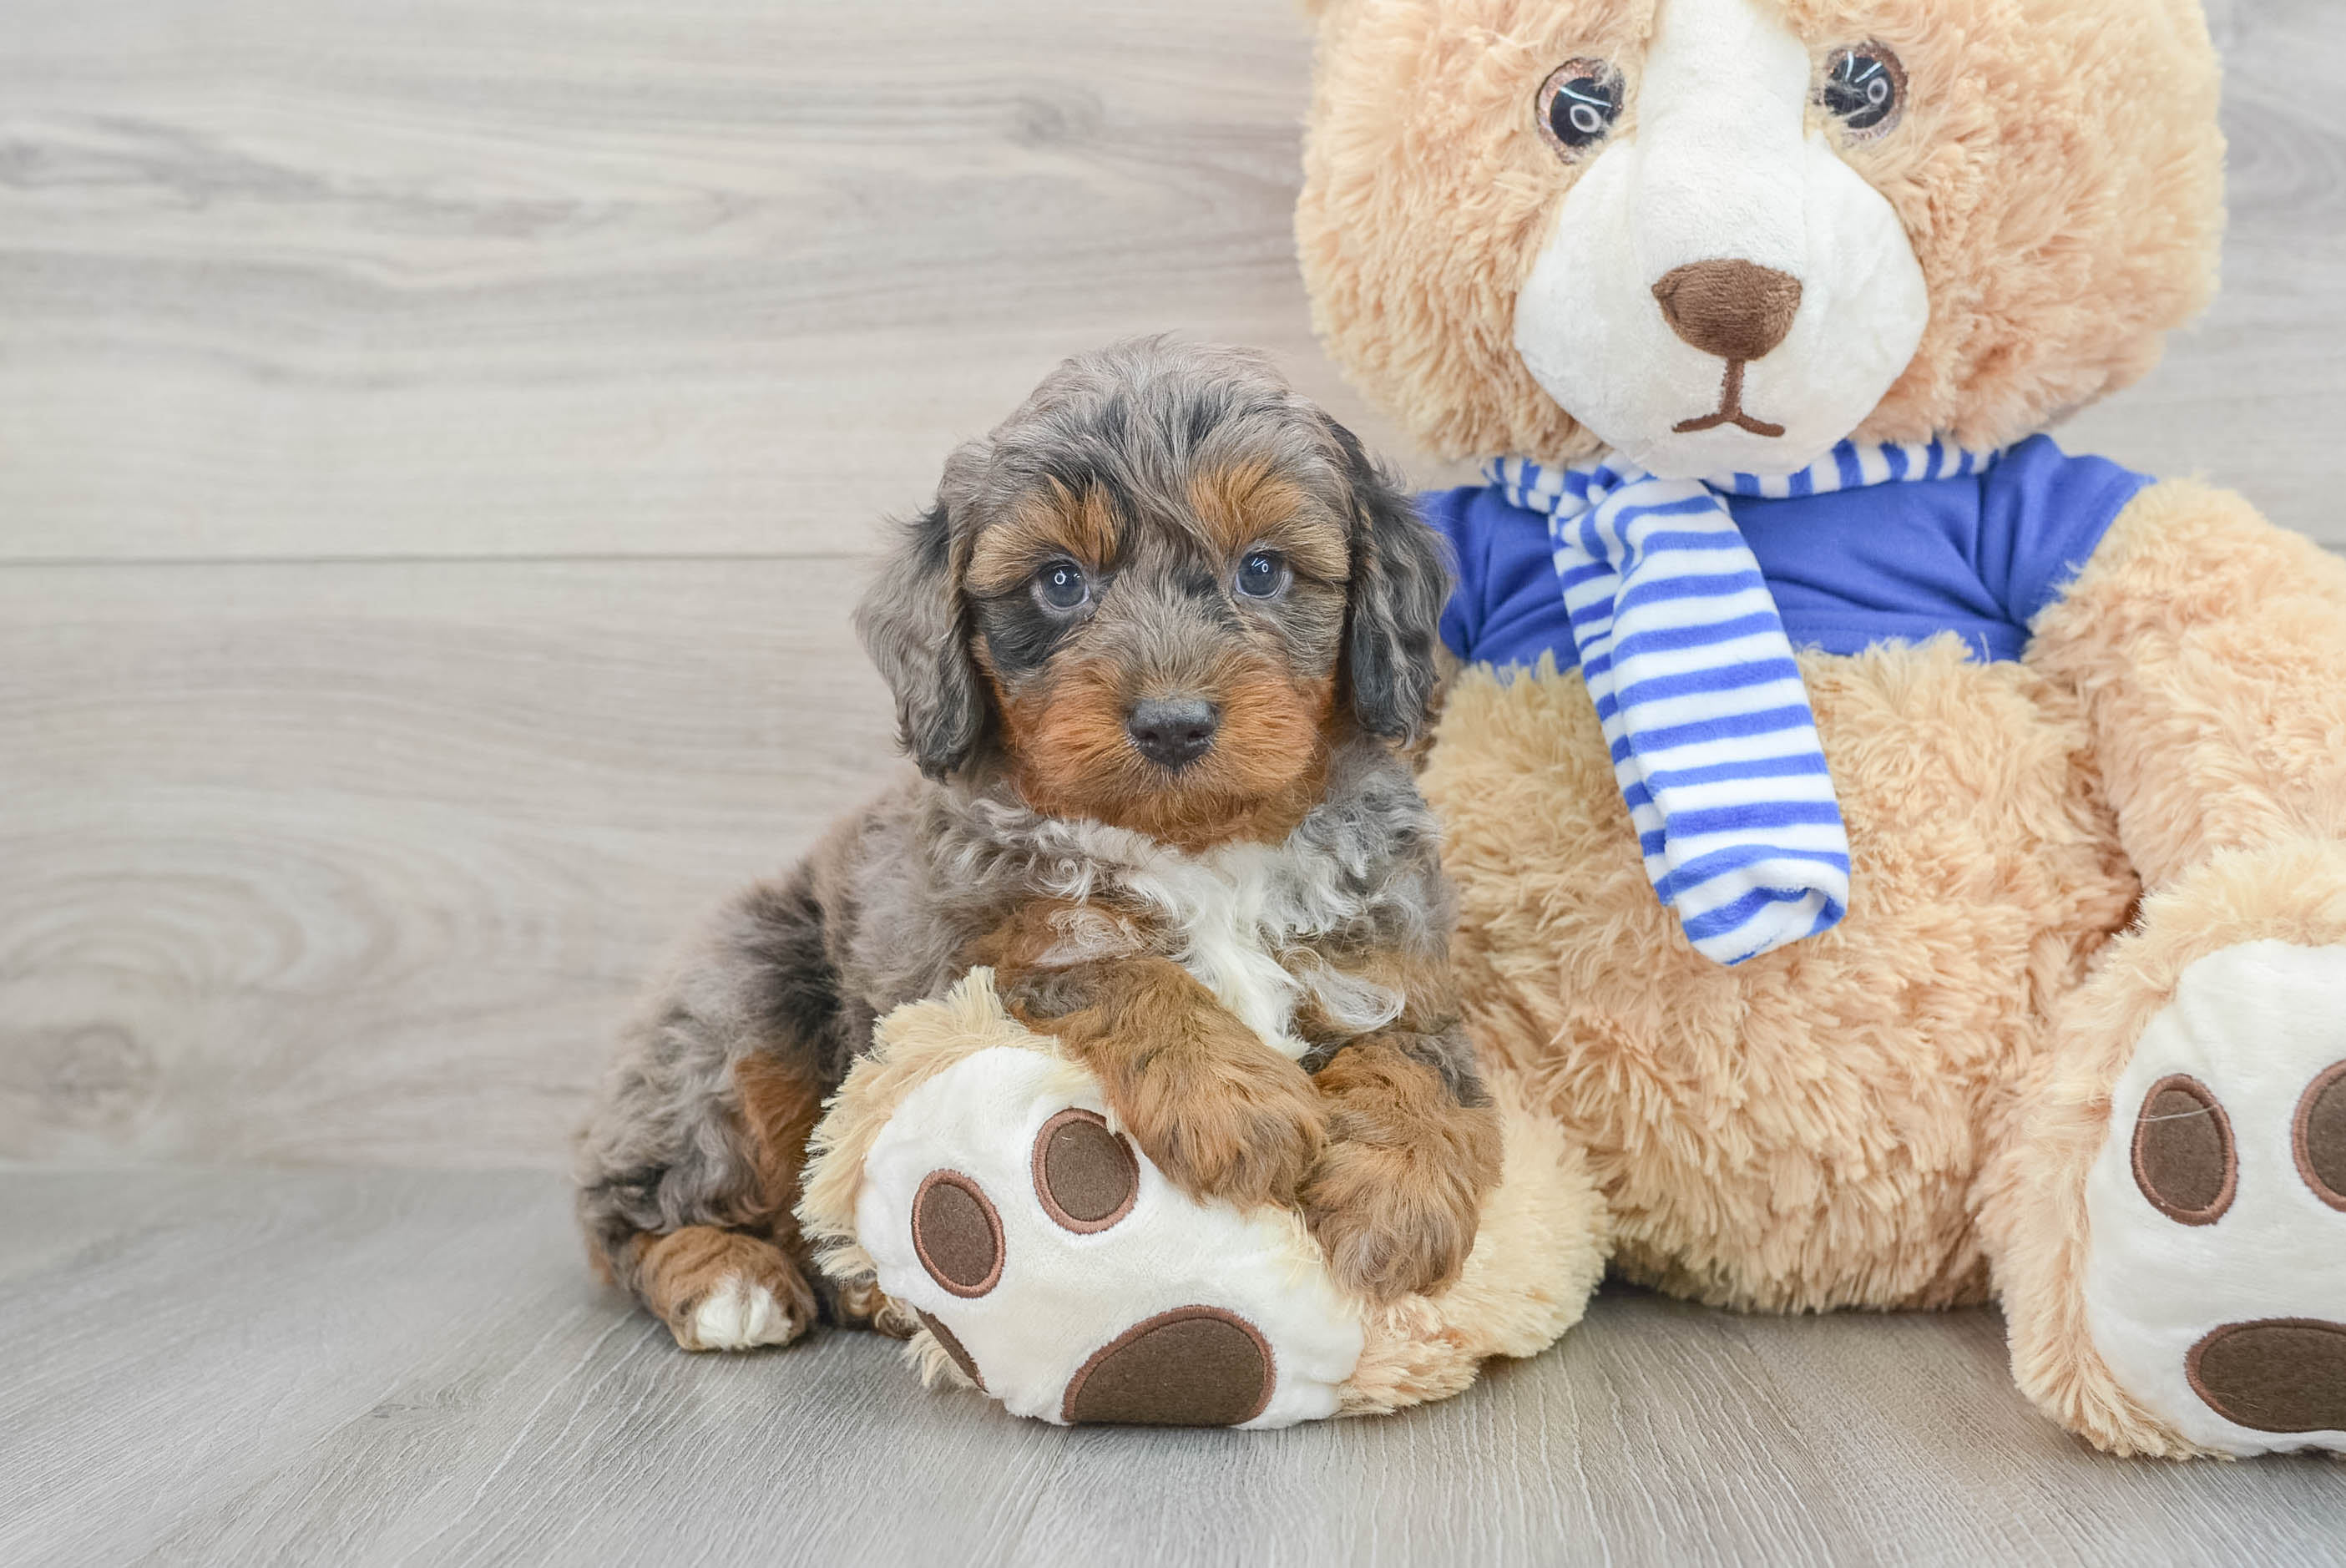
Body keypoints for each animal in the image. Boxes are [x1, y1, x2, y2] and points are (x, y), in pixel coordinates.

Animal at [579, 340, 1510, 1352]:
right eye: (1061, 582)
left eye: (1262, 570)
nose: (1172, 723)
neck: (1201, 845)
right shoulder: (964, 949)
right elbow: (1105, 961)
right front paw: (1238, 1099)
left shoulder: (1393, 962)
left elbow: (1421, 1066)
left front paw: (1394, 1199)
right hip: (738, 1018)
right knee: (630, 1207)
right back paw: (731, 1279)